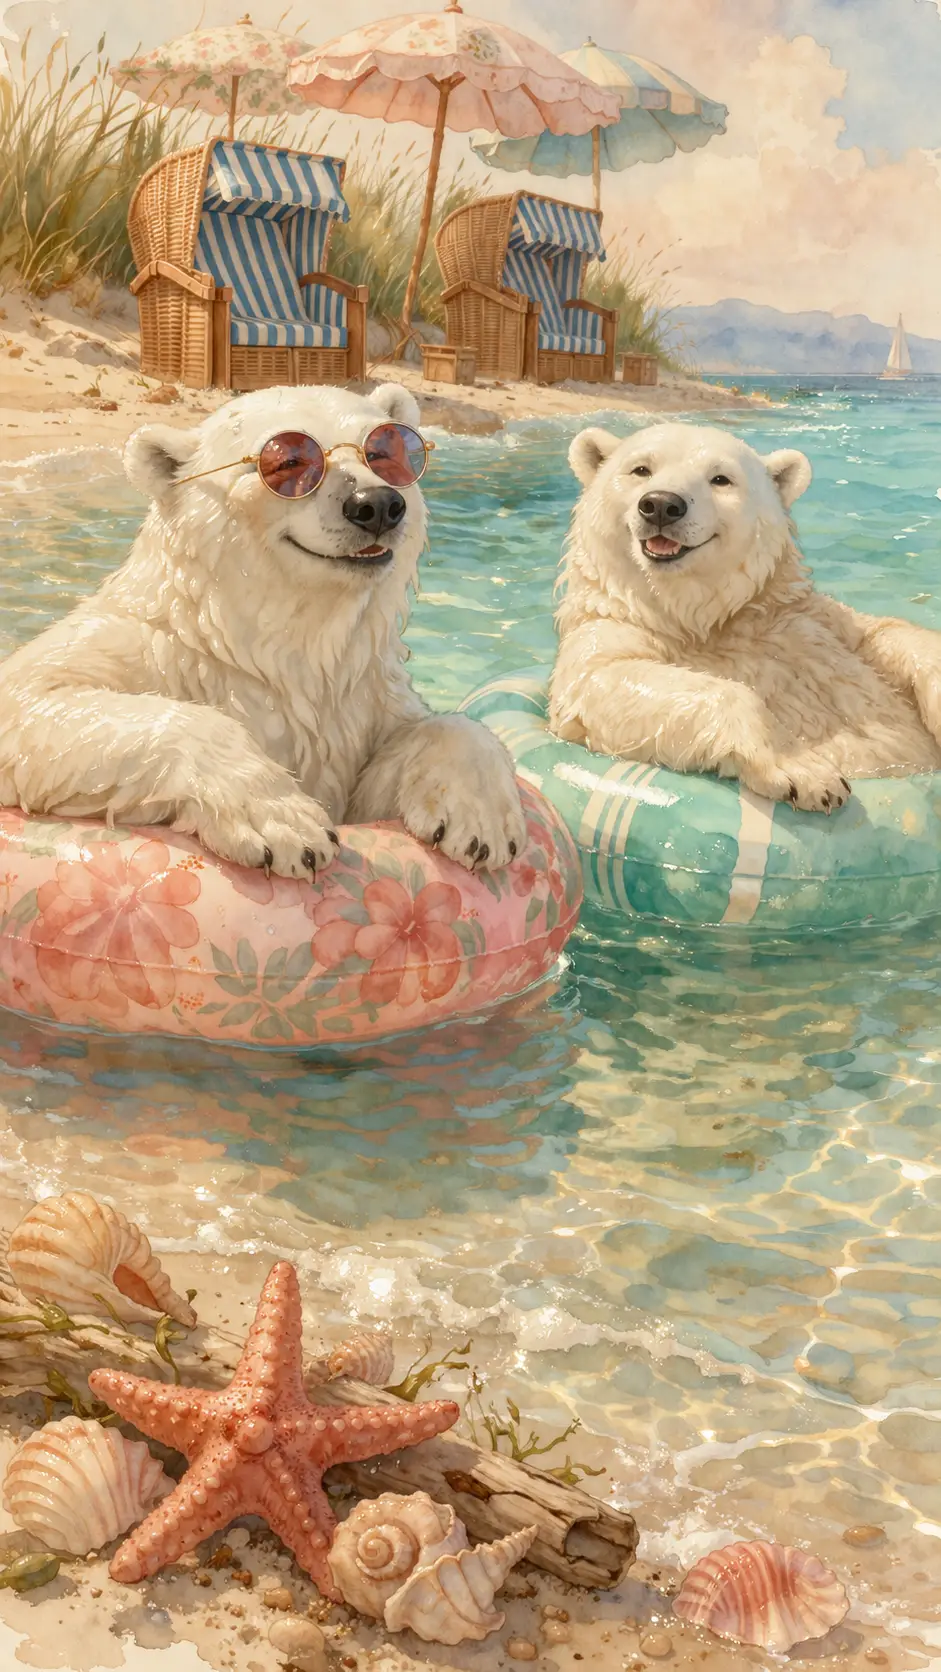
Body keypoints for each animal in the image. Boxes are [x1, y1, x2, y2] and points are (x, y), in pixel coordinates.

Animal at [0, 382, 524, 874]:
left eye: (383, 450)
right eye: (288, 461)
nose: (376, 504)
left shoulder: (362, 700)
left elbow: (424, 737)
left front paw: (480, 825)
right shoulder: (153, 647)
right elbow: (35, 695)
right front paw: (285, 825)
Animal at [549, 421, 941, 812]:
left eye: (720, 478)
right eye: (641, 469)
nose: (661, 504)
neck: (703, 619)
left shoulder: (810, 621)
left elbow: (888, 635)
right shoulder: (611, 626)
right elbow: (598, 678)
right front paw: (806, 772)